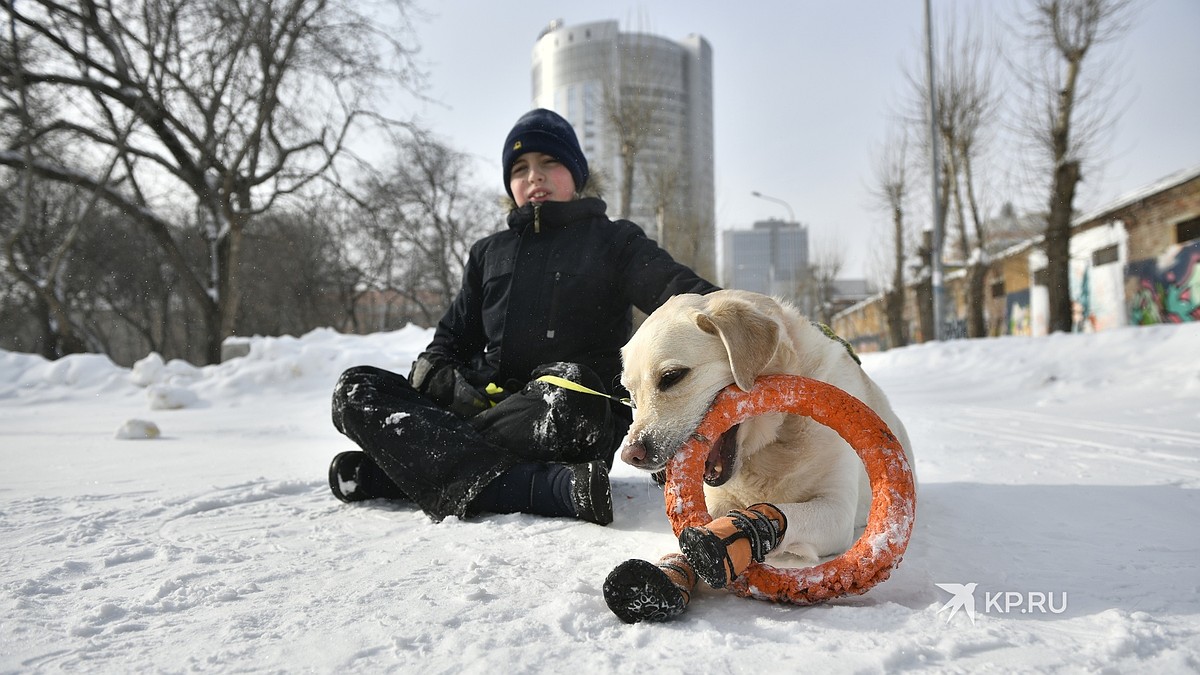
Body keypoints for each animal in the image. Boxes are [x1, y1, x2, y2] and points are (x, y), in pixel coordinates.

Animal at [614, 289, 912, 562]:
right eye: (630, 396)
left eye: (672, 376)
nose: (630, 455)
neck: (776, 440)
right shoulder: (716, 498)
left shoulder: (837, 508)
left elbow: (788, 512)